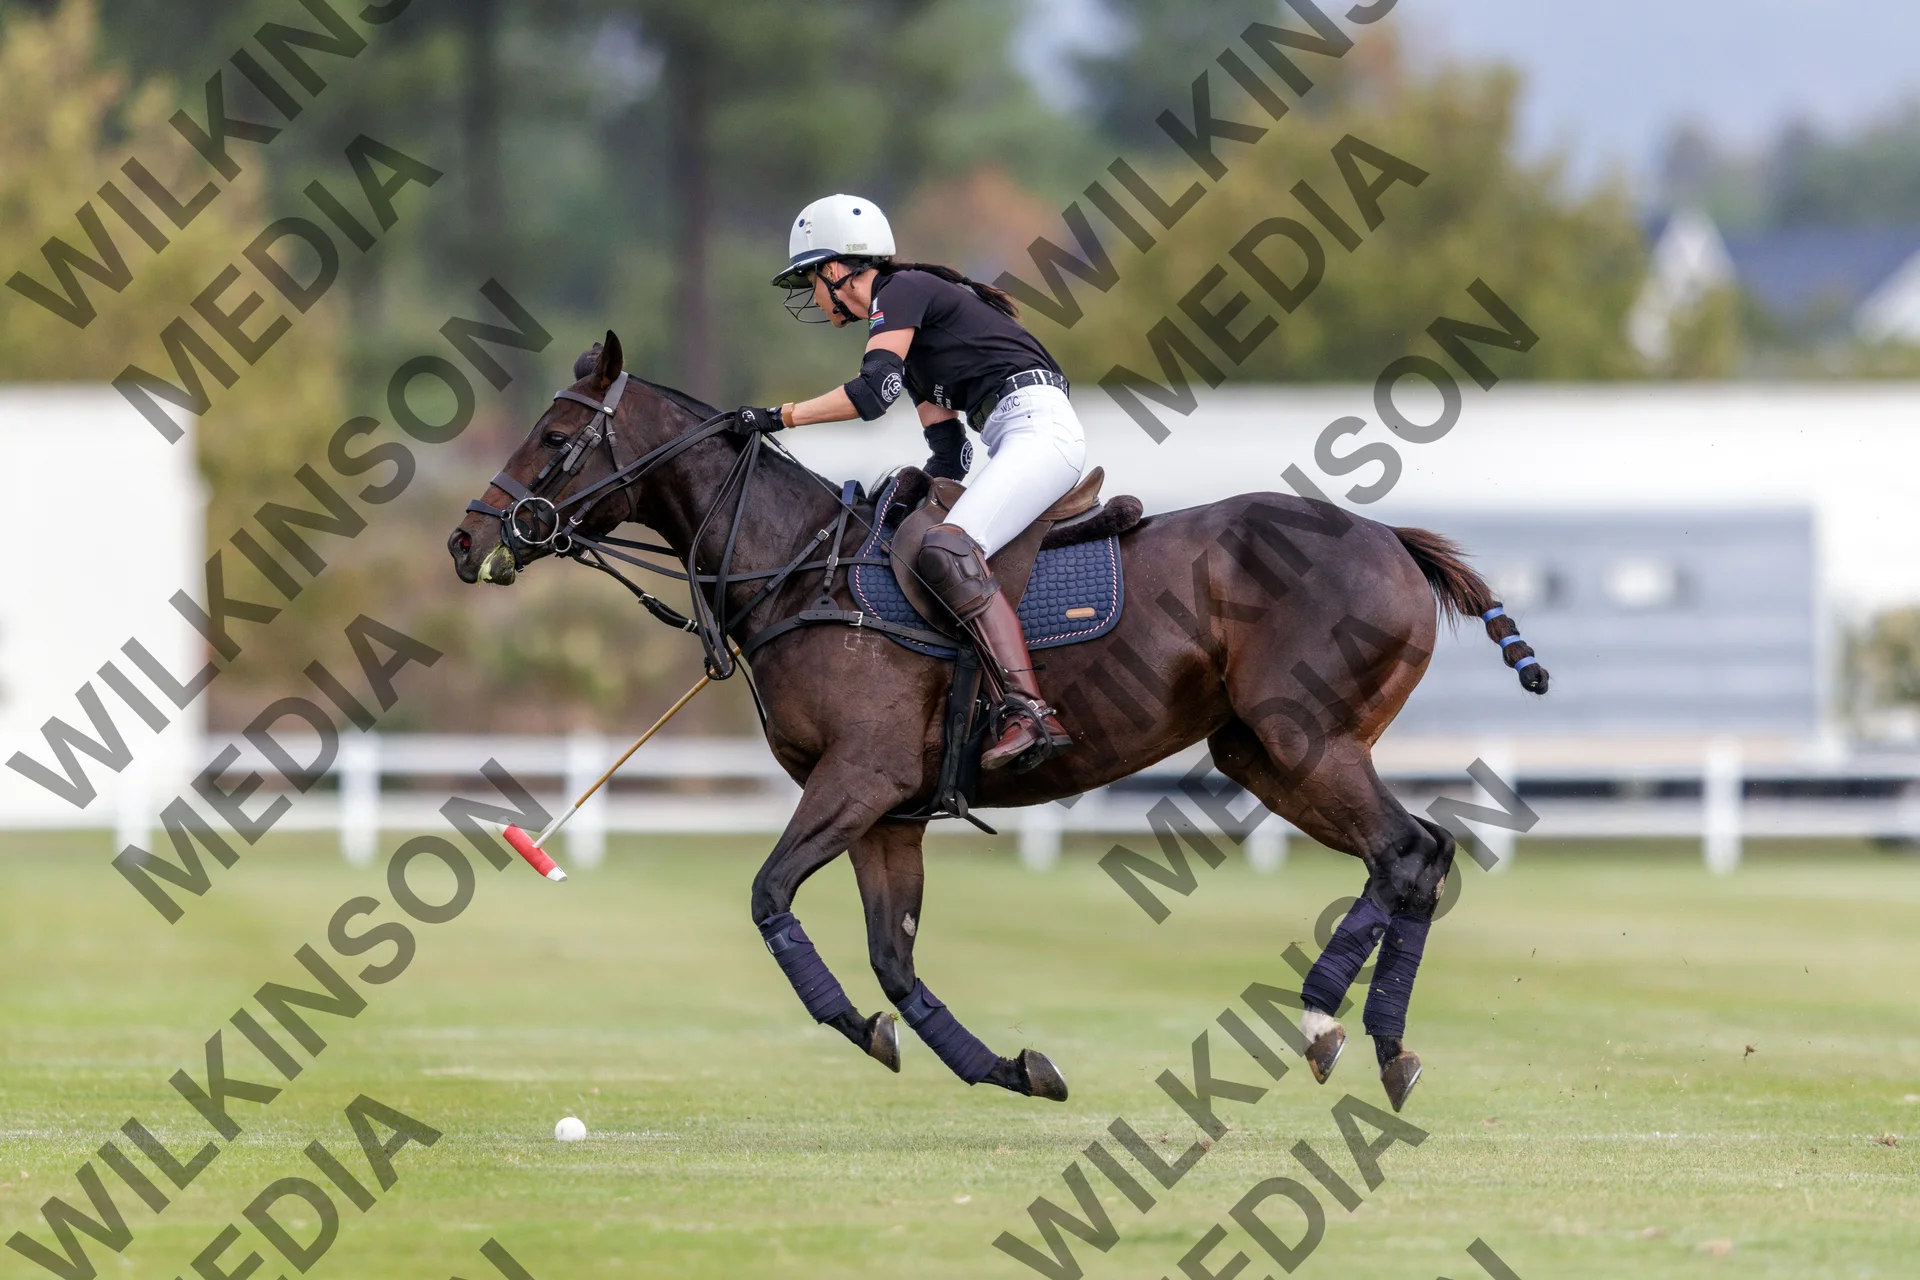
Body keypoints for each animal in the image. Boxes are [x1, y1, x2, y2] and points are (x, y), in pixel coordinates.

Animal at [447, 333, 1548, 1111]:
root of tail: (1393, 539)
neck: (796, 566)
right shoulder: (888, 812)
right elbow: (895, 960)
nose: (466, 540)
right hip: (1262, 750)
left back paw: (1326, 1020)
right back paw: (1379, 1044)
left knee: (1404, 850)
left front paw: (857, 1024)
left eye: (554, 438)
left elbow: (769, 896)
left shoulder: (859, 778)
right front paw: (1010, 1066)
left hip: (1305, 739)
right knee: (1420, 851)